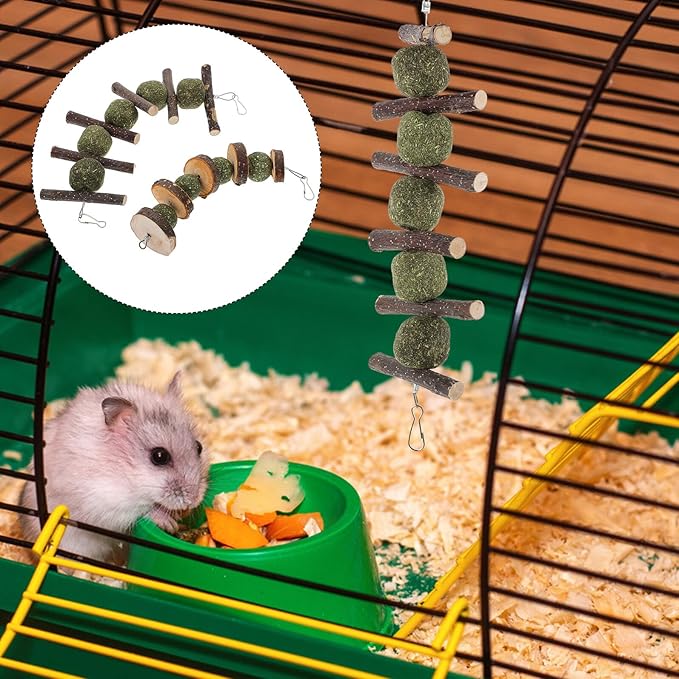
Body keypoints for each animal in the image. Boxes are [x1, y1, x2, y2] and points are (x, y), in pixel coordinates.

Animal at [20, 372, 210, 564]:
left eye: (199, 447)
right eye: (159, 456)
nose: (193, 501)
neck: (125, 470)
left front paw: (181, 515)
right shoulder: (106, 501)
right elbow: (143, 511)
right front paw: (169, 523)